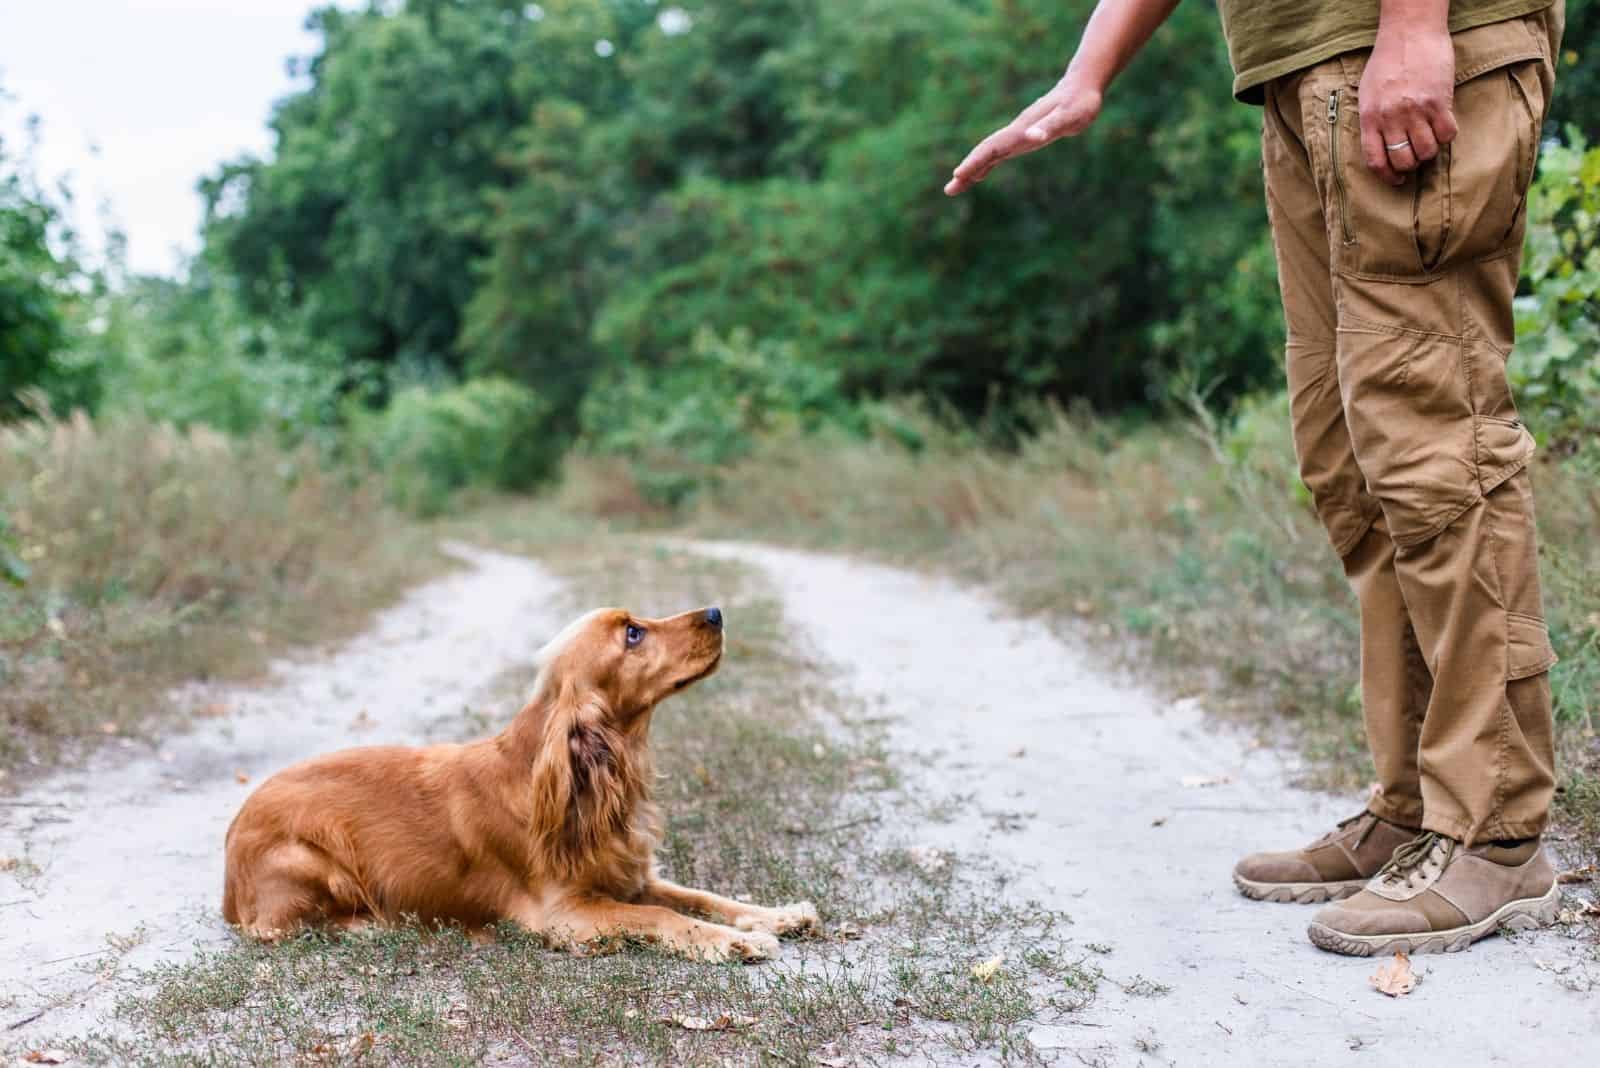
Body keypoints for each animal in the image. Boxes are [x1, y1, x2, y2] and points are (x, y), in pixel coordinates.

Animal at [220, 604, 819, 965]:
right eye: (633, 633)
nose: (716, 612)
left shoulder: (629, 875)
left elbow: (699, 895)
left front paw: (776, 915)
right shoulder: (566, 912)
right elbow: (663, 915)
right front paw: (737, 942)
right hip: (312, 861)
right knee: (280, 929)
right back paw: (377, 925)